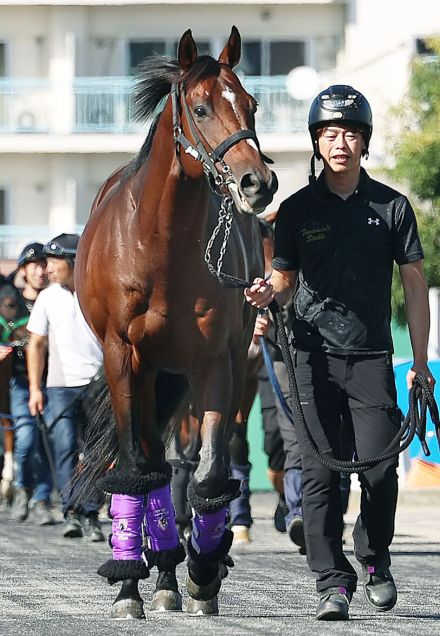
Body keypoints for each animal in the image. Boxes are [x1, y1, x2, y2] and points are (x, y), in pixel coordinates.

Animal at [75, 27, 276, 620]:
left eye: (251, 104)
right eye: (202, 107)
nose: (258, 183)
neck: (159, 243)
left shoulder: (216, 363)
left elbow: (210, 471)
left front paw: (203, 572)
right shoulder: (122, 356)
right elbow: (134, 464)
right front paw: (128, 587)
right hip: (148, 372)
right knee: (150, 464)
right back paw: (155, 571)